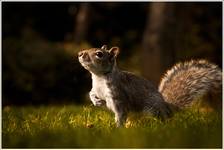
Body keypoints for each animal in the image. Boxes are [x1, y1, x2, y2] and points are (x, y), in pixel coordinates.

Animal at [78, 44, 221, 126]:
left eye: (99, 54)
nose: (80, 53)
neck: (99, 78)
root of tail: (167, 109)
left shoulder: (118, 96)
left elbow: (120, 114)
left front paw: (117, 129)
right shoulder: (95, 89)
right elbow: (91, 93)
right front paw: (96, 101)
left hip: (152, 110)